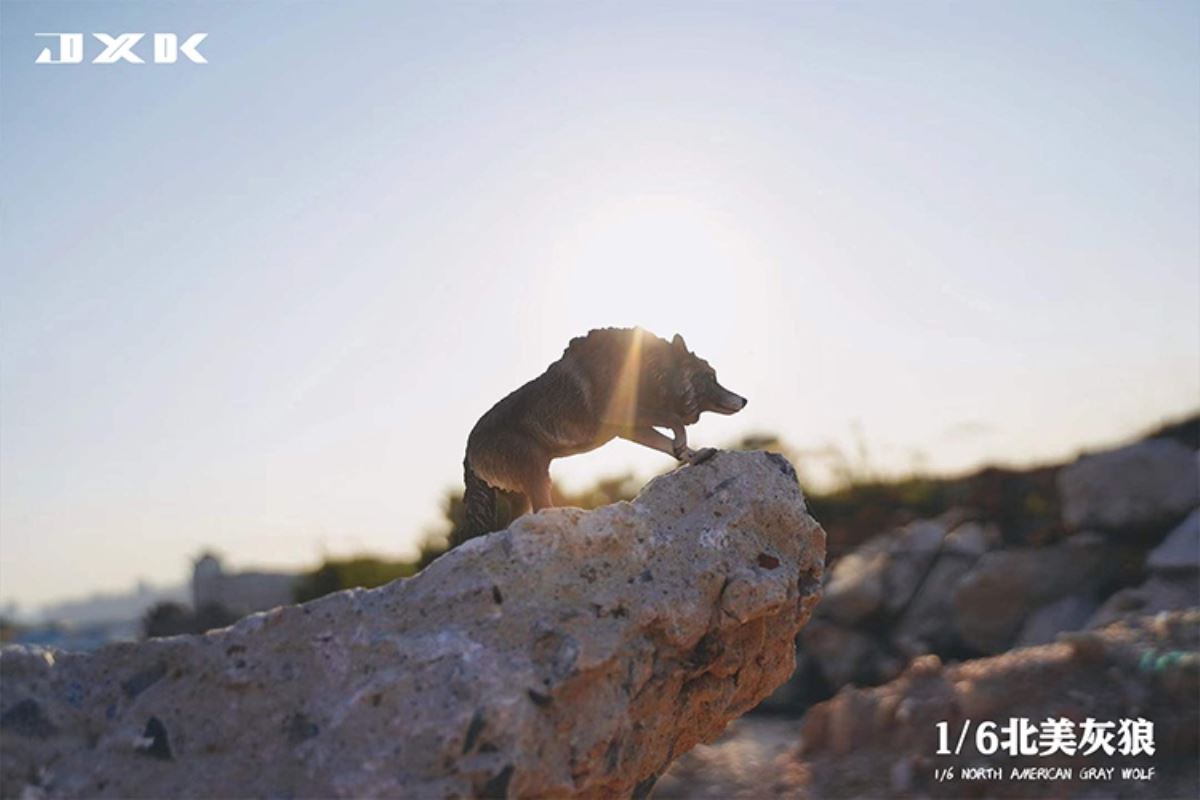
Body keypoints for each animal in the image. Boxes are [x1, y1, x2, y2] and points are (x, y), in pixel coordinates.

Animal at [456, 327, 747, 546]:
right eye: (711, 377)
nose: (744, 400)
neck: (650, 370)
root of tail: (468, 449)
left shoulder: (630, 428)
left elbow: (667, 441)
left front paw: (692, 455)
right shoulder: (625, 415)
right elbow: (674, 421)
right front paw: (682, 444)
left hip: (523, 490)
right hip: (536, 472)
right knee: (541, 510)